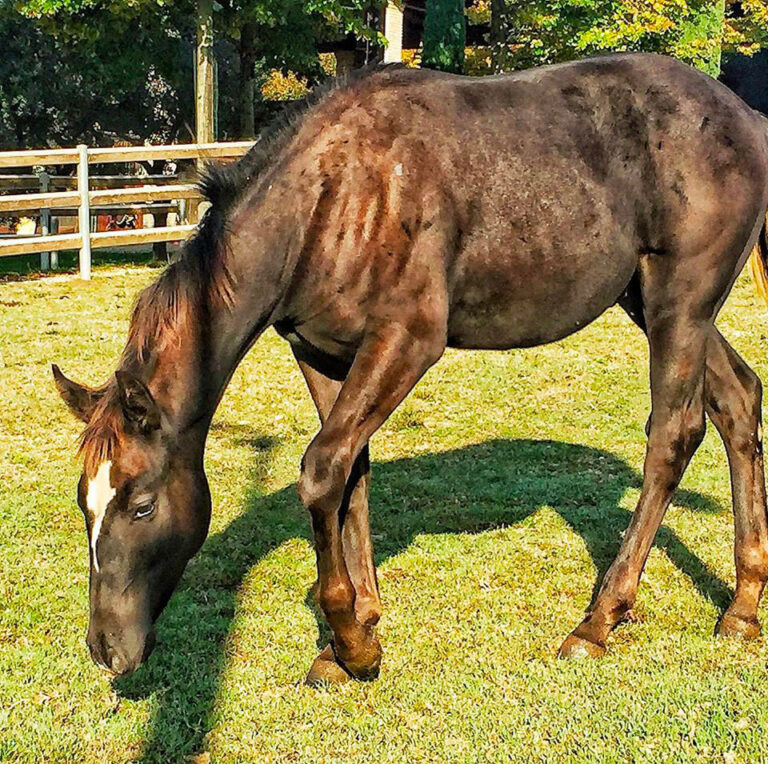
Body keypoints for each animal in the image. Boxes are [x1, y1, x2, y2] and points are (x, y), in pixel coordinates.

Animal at [53, 52, 768, 684]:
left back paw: (600, 619)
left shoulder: (407, 341)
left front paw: (353, 642)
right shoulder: (322, 353)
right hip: (651, 302)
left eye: (142, 505)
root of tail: (747, 116)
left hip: (679, 303)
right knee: (739, 400)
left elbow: (322, 469)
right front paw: (359, 628)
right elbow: (350, 477)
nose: (106, 648)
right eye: (86, 505)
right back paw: (742, 605)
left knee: (673, 436)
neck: (332, 196)